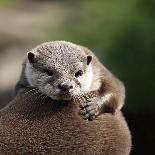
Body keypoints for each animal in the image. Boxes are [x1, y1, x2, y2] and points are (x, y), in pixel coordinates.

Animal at [0, 41, 131, 155]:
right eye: (49, 72)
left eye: (78, 73)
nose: (65, 86)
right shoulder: (23, 78)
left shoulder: (100, 70)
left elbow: (116, 90)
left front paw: (92, 107)